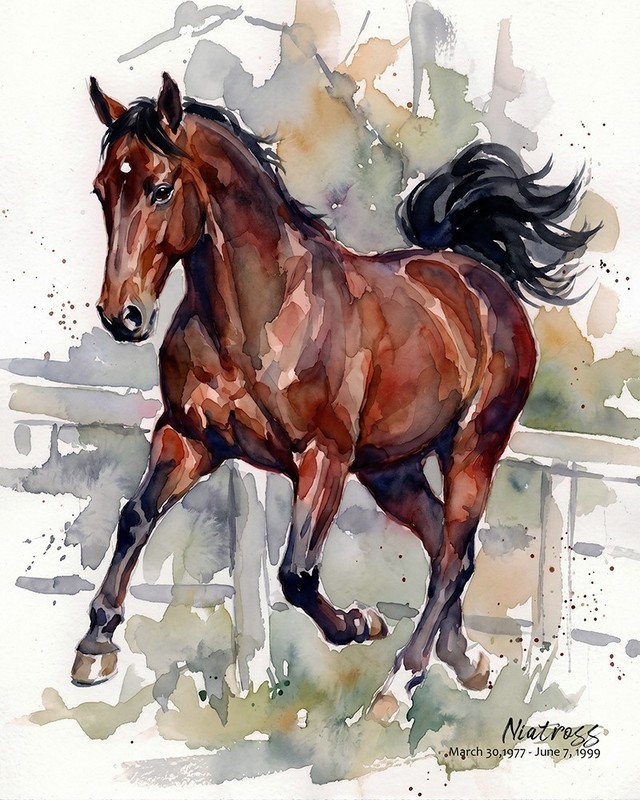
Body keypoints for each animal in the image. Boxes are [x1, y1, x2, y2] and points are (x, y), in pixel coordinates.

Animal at [72, 73, 593, 717]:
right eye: (101, 190)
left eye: (161, 188)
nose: (122, 316)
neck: (258, 316)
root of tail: (475, 274)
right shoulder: (189, 438)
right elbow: (135, 517)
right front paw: (94, 646)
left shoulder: (323, 458)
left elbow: (296, 573)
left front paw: (360, 624)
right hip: (392, 470)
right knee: (446, 546)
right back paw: (465, 662)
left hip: (473, 448)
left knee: (451, 555)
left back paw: (399, 684)